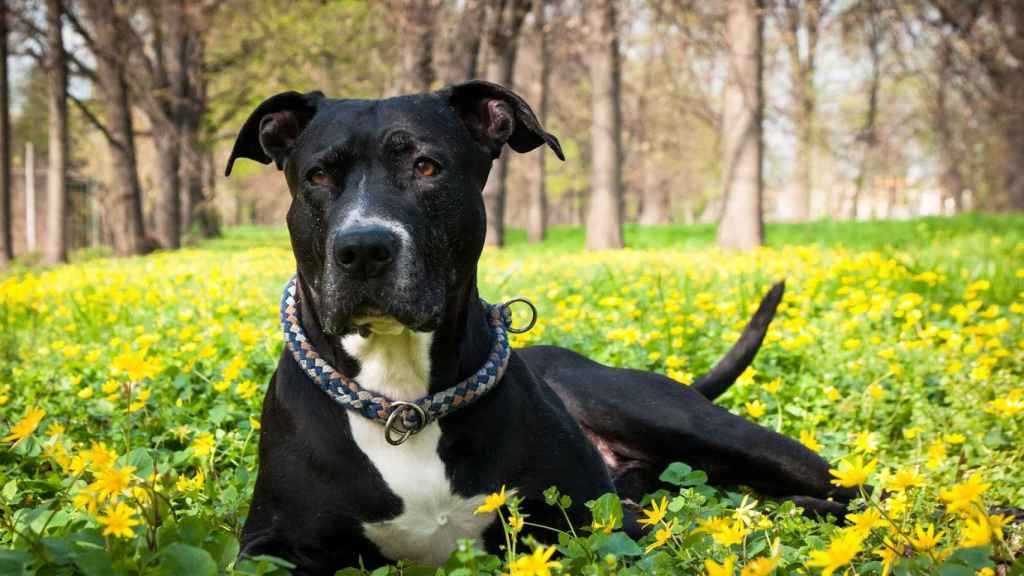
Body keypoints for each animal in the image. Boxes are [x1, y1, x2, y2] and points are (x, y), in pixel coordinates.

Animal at [226, 81, 856, 573]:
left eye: (427, 167)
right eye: (317, 176)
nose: (362, 248)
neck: (403, 402)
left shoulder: (600, 521)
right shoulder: (268, 547)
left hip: (689, 424)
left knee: (845, 487)